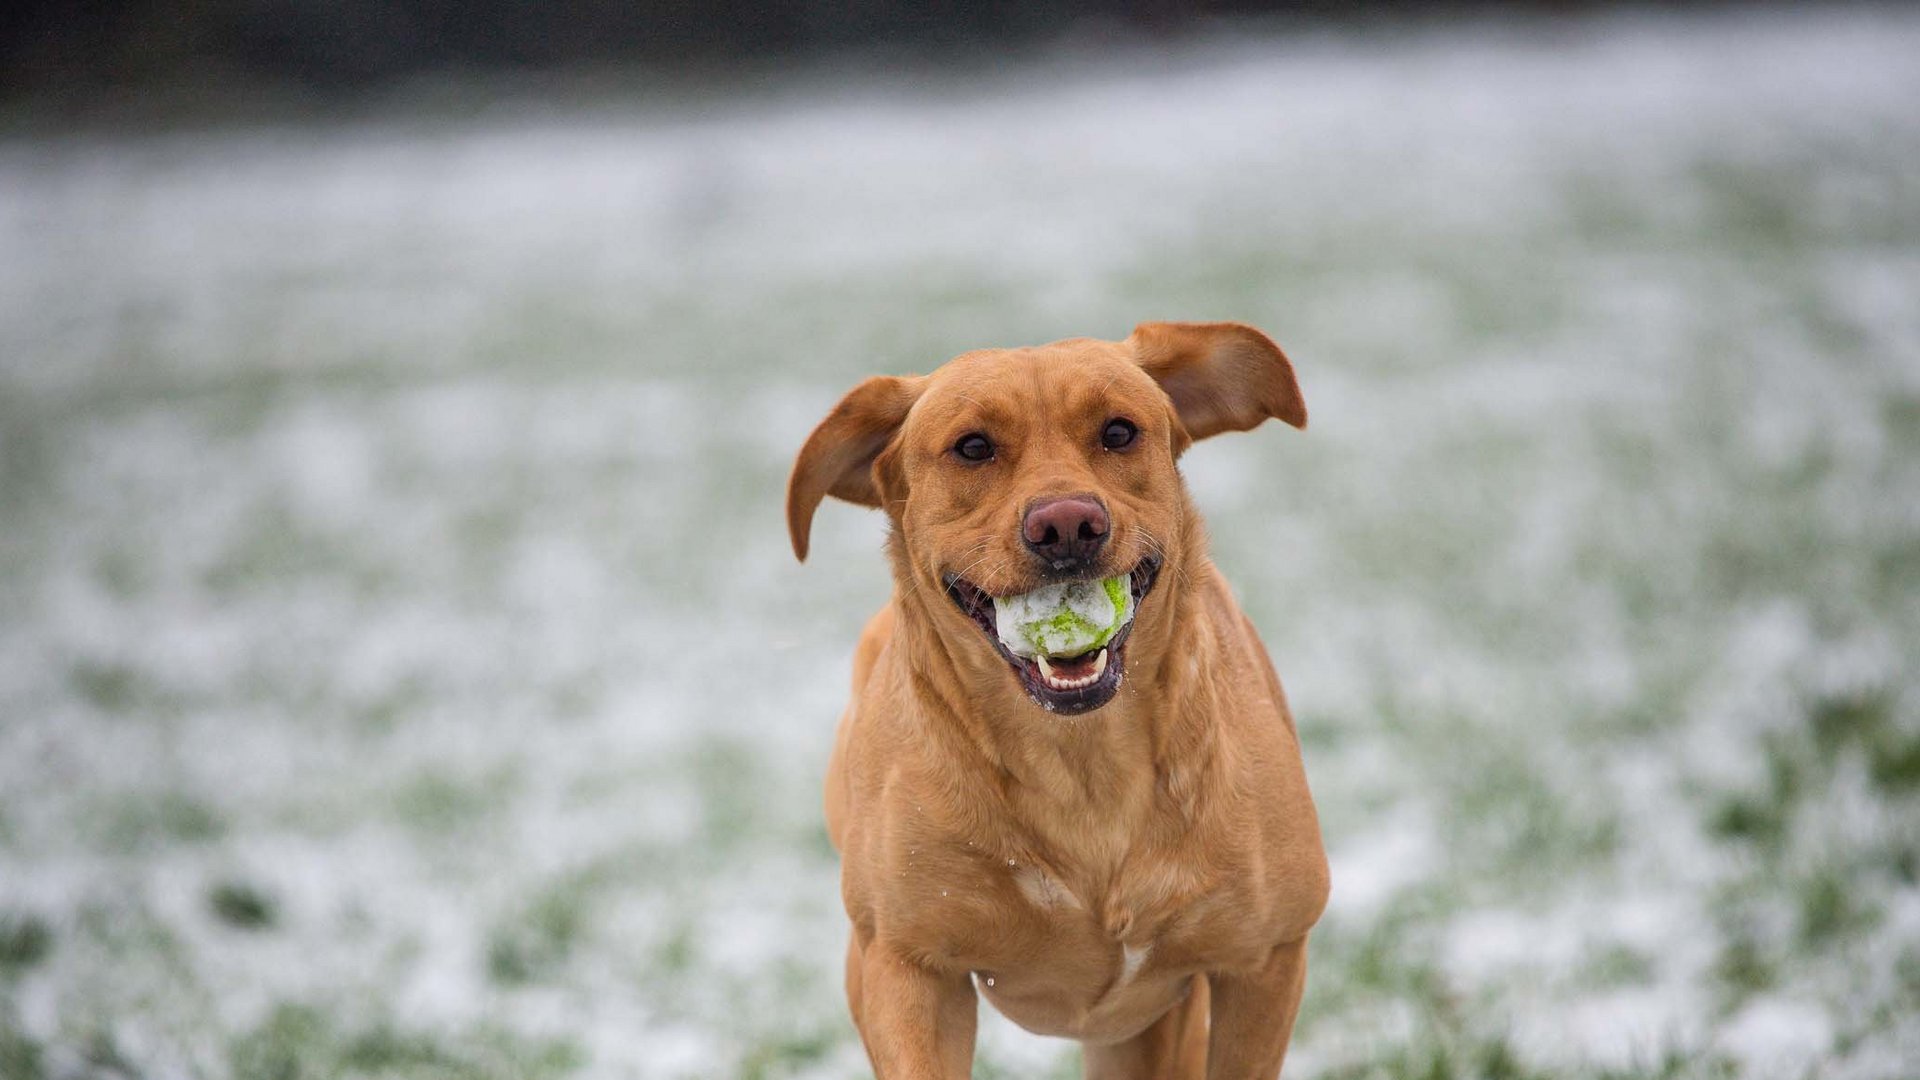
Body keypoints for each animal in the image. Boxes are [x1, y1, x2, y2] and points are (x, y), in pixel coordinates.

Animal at [787, 322, 1328, 1068]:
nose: (1067, 524)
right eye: (973, 447)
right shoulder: (906, 968)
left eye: (1119, 432)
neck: (1082, 765)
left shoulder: (1266, 959)